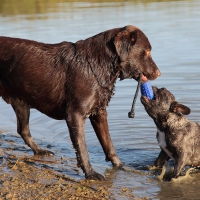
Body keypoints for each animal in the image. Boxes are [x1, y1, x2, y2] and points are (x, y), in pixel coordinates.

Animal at [0, 25, 160, 180]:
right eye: (146, 51)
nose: (159, 73)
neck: (97, 66)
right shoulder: (75, 115)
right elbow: (82, 148)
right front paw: (91, 174)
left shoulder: (99, 112)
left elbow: (108, 144)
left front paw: (120, 166)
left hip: (21, 102)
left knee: (23, 130)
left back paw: (40, 151)